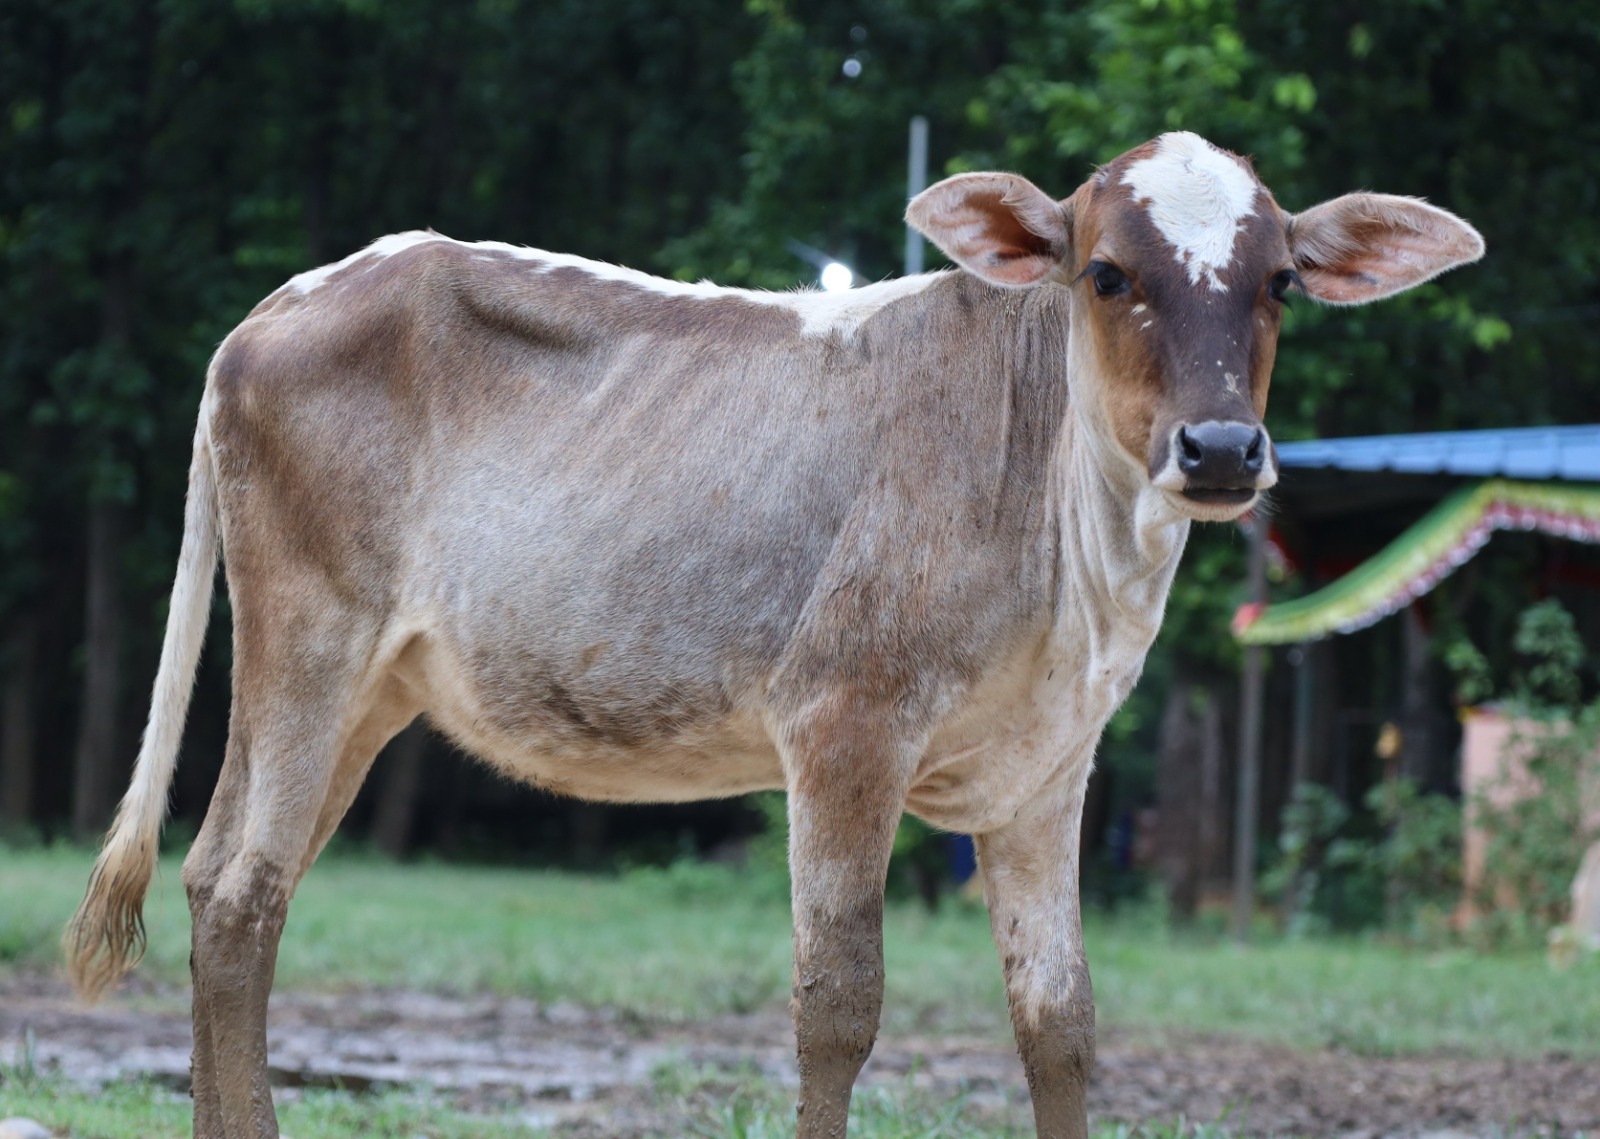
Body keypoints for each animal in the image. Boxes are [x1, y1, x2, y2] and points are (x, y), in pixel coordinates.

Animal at [65, 131, 1483, 1139]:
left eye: (1279, 280)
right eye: (1106, 272)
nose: (1223, 448)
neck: (1079, 562)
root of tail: (292, 297)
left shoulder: (1047, 766)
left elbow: (1059, 1017)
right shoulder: (845, 723)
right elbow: (837, 1003)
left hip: (365, 682)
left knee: (217, 874)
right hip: (311, 632)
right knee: (242, 901)